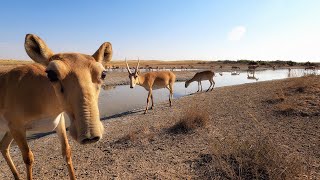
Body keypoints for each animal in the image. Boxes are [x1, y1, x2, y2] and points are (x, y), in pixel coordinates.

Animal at [0, 34, 112, 179]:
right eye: (51, 74)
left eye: (103, 74)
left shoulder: (59, 121)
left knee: (3, 146)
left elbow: (67, 151)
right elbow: (28, 158)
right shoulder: (16, 127)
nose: (90, 135)